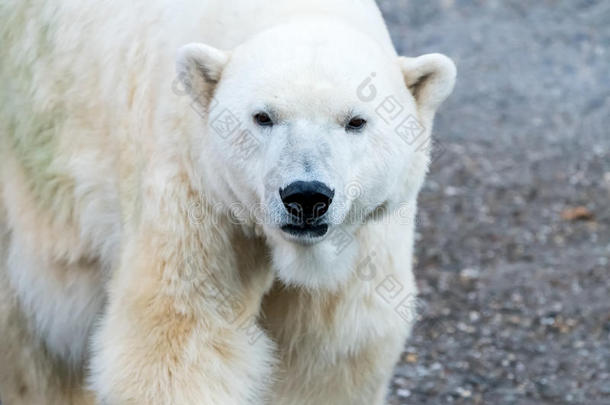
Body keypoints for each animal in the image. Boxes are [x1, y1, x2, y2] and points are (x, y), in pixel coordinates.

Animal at [0, 0, 454, 402]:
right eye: (263, 117)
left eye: (356, 121)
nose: (306, 195)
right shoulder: (196, 186)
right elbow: (180, 342)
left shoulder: (361, 235)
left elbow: (326, 354)